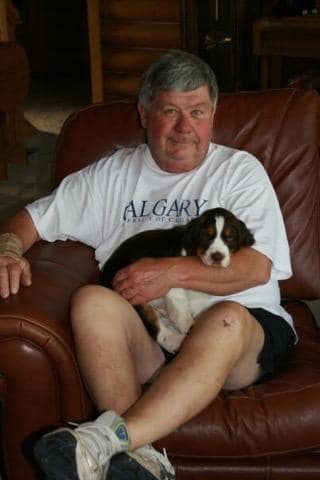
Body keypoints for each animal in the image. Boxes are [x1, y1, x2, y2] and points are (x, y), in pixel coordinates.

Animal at [101, 208, 254, 354]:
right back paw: (175, 341)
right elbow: (178, 299)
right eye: (206, 236)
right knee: (154, 326)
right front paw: (186, 323)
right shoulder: (168, 275)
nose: (217, 256)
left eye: (230, 237)